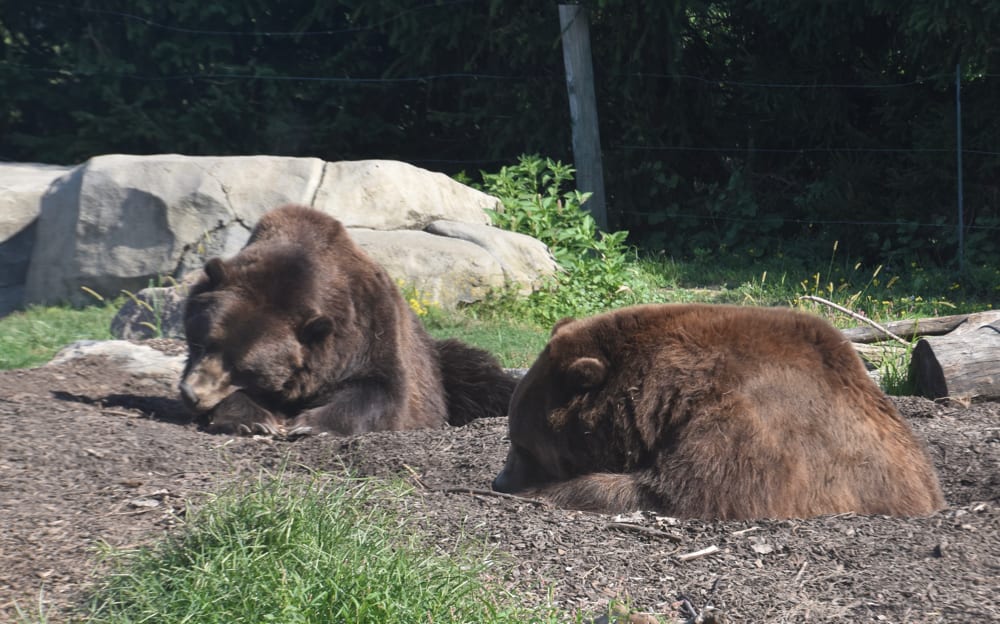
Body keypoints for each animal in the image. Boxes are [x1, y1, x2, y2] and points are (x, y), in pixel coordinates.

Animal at [179, 204, 517, 436]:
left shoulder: (368, 330)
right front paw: (257, 421)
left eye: (244, 367)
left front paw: (309, 424)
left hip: (442, 365)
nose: (192, 394)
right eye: (204, 342)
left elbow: (382, 390)